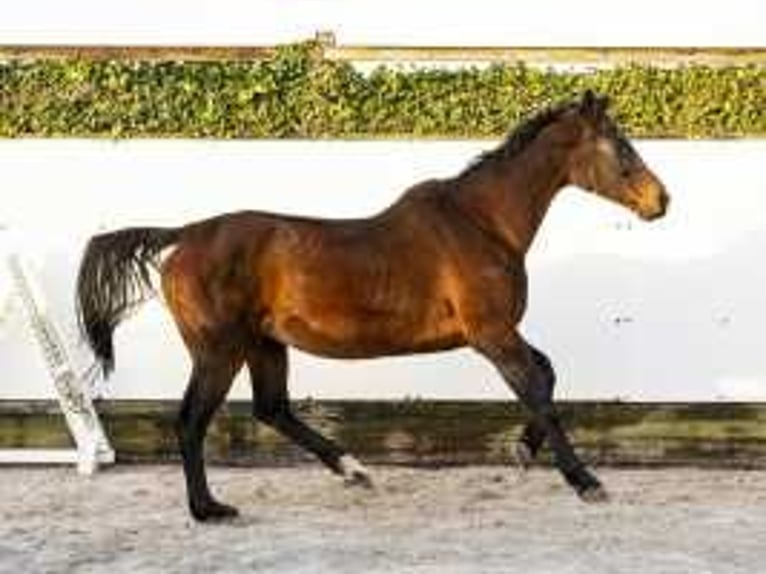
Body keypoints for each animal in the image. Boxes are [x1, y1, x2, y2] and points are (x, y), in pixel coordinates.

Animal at [75, 89, 668, 520]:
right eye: (621, 147)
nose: (660, 201)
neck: (482, 222)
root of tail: (184, 236)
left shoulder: (496, 333)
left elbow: (547, 374)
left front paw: (525, 451)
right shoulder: (491, 333)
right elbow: (539, 389)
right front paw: (585, 482)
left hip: (264, 344)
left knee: (272, 408)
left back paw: (354, 469)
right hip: (219, 351)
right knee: (192, 422)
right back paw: (209, 509)